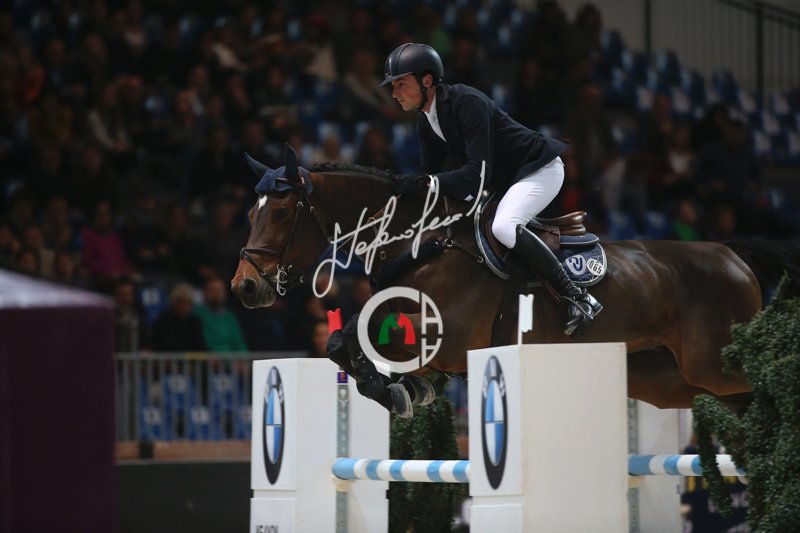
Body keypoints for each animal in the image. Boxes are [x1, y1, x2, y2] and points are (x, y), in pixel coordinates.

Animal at [231, 146, 800, 417]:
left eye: (280, 211)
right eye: (250, 212)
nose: (244, 287)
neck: (420, 241)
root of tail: (731, 253)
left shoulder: (449, 334)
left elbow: (353, 337)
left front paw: (398, 391)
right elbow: (341, 342)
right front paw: (405, 390)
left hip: (713, 364)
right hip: (669, 379)